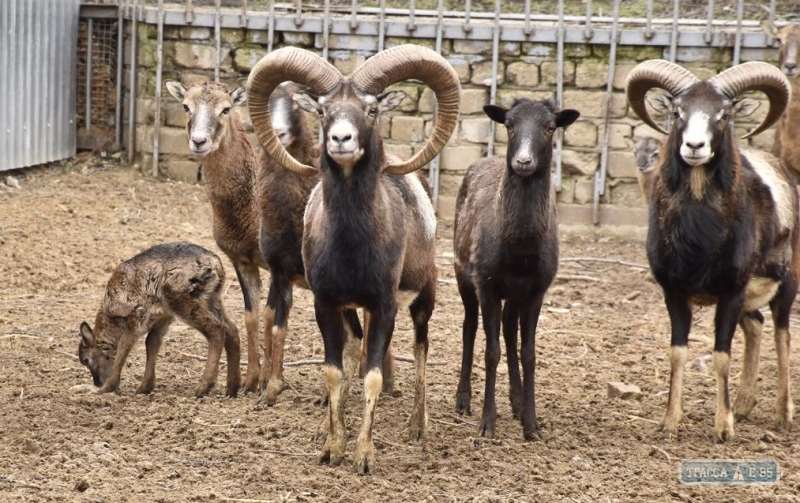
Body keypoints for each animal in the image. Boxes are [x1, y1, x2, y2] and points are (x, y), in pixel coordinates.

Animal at [77, 243, 241, 398]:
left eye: (86, 360)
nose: (98, 382)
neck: (112, 318)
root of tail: (215, 264)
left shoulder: (136, 316)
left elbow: (124, 346)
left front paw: (107, 388)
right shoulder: (163, 318)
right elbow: (151, 343)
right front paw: (144, 388)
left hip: (181, 298)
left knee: (216, 328)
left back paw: (204, 387)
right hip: (212, 298)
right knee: (232, 330)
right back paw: (232, 389)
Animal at [248, 45, 462, 474]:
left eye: (371, 109)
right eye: (323, 110)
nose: (341, 139)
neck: (351, 247)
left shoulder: (383, 306)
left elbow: (374, 377)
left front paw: (364, 457)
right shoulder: (328, 304)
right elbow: (334, 371)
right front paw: (332, 447)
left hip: (423, 299)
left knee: (421, 350)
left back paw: (417, 427)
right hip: (354, 311)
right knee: (354, 351)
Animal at [454, 98, 580, 440]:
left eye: (550, 127)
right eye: (509, 126)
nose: (523, 161)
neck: (520, 249)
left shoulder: (538, 289)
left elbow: (528, 353)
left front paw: (531, 424)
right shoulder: (486, 284)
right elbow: (491, 351)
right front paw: (487, 424)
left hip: (514, 294)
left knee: (510, 331)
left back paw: (516, 400)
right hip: (462, 274)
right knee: (469, 328)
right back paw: (463, 400)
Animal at [628, 58, 796, 440]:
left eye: (723, 114)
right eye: (677, 111)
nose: (694, 146)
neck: (699, 238)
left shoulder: (731, 292)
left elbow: (721, 355)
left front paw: (724, 429)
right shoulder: (674, 292)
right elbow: (678, 353)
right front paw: (670, 423)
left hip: (787, 284)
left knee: (782, 334)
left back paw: (783, 415)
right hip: (750, 300)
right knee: (757, 326)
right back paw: (745, 406)